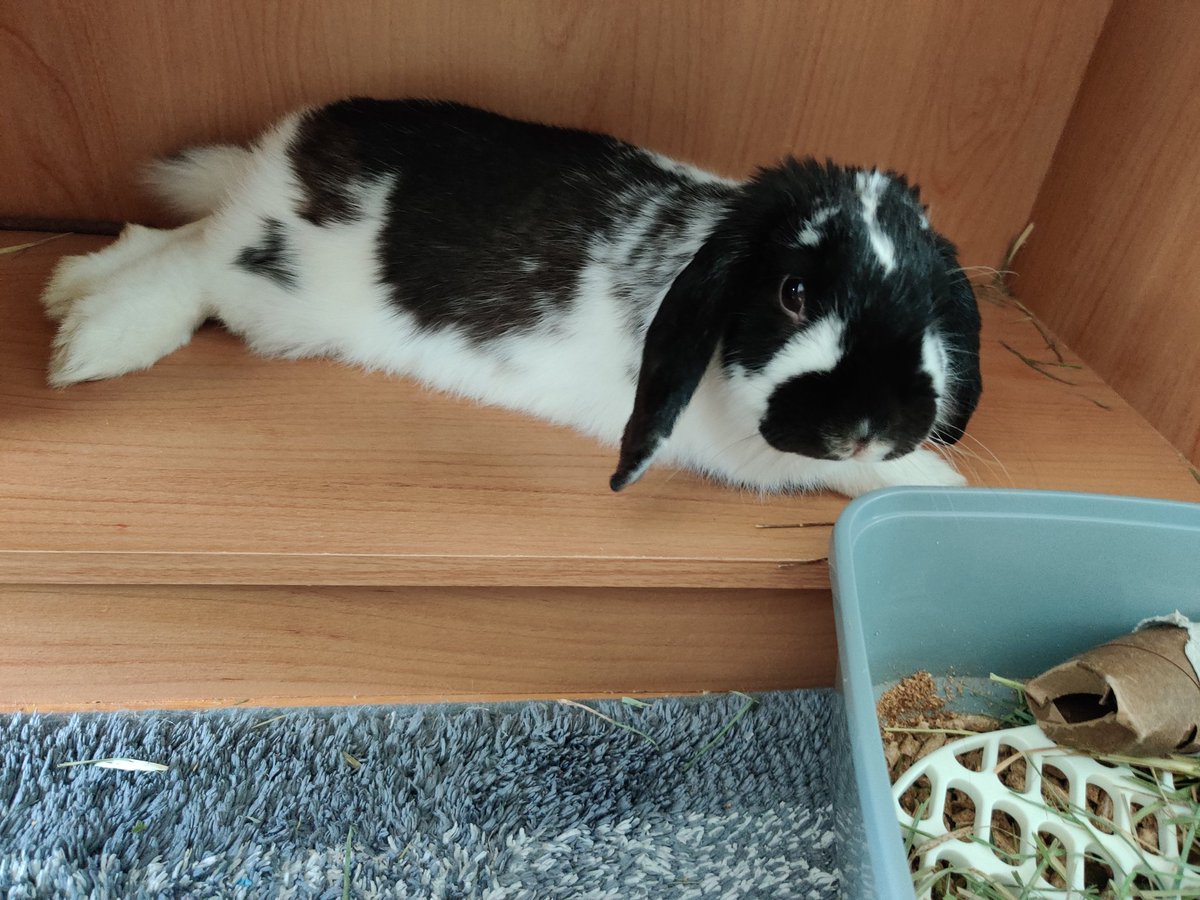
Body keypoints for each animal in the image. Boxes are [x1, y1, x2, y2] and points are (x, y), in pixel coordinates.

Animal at [42, 98, 982, 497]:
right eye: (792, 292)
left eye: (934, 309)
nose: (868, 423)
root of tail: (287, 148)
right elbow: (835, 473)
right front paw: (939, 483)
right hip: (277, 288)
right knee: (195, 264)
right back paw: (94, 339)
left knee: (180, 236)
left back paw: (69, 287)